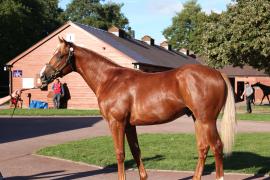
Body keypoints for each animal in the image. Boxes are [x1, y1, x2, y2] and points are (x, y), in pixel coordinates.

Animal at [40, 38, 236, 180]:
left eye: (59, 55)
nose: (42, 77)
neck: (109, 79)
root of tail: (217, 73)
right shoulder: (129, 125)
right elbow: (136, 151)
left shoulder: (117, 123)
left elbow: (120, 154)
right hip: (198, 119)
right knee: (203, 147)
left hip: (207, 120)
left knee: (217, 146)